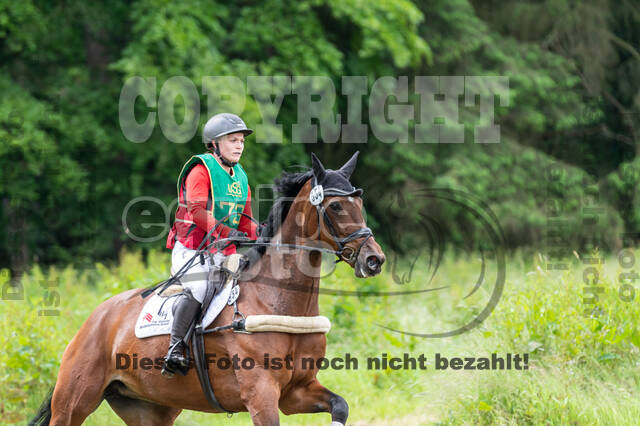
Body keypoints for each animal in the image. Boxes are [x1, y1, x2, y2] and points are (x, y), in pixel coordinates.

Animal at [30, 151, 386, 426]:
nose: (374, 260)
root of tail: (94, 320)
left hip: (149, 409)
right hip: (74, 402)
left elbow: (340, 405)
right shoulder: (261, 394)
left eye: (359, 203)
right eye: (336, 207)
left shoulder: (297, 391)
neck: (279, 300)